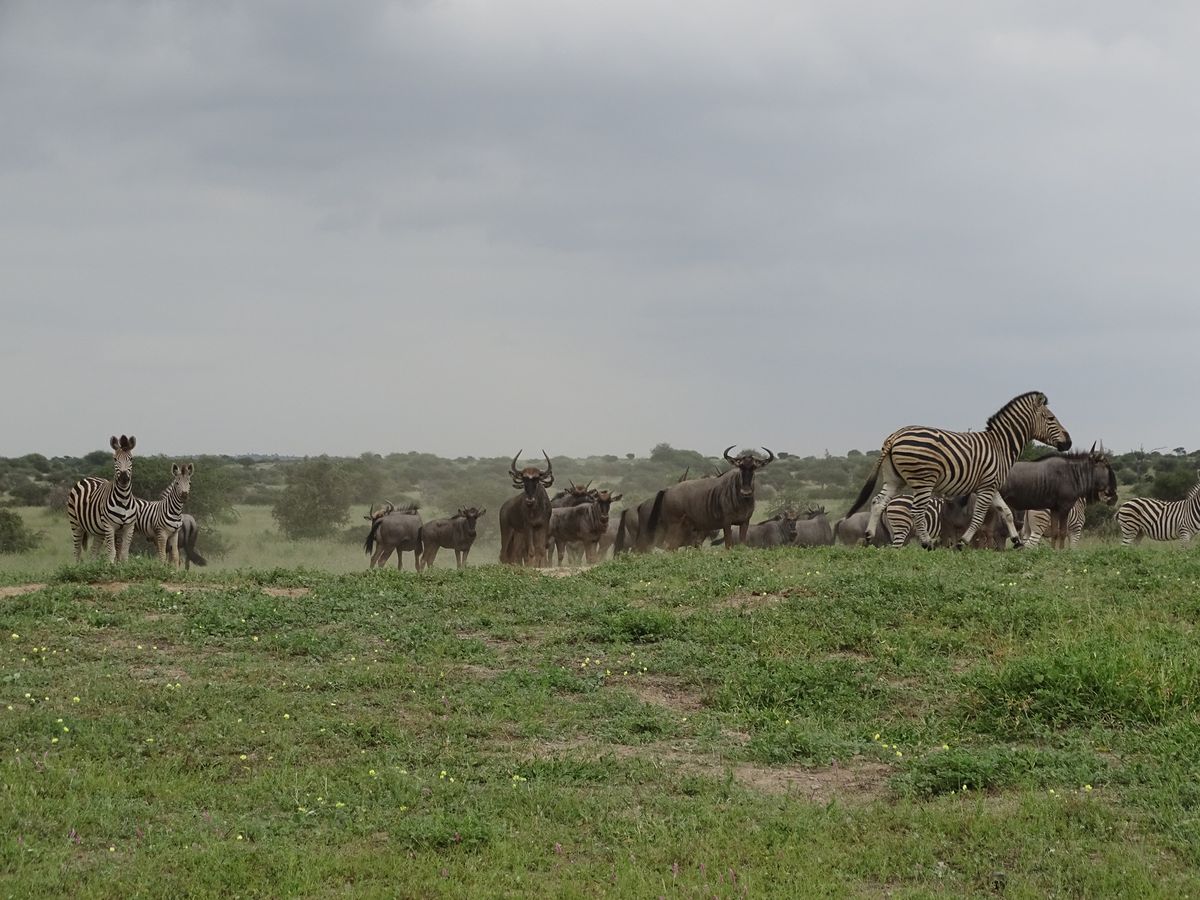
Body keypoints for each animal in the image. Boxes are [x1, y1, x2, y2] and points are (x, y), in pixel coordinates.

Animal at [846, 392, 1071, 550]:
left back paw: (869, 535)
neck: (1001, 445)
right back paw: (926, 542)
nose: (1068, 442)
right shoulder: (986, 487)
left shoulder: (991, 486)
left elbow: (1006, 511)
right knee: (916, 510)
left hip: (895, 479)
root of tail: (895, 435)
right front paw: (963, 542)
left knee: (878, 502)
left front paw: (1016, 541)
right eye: (1051, 419)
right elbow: (979, 517)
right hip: (923, 480)